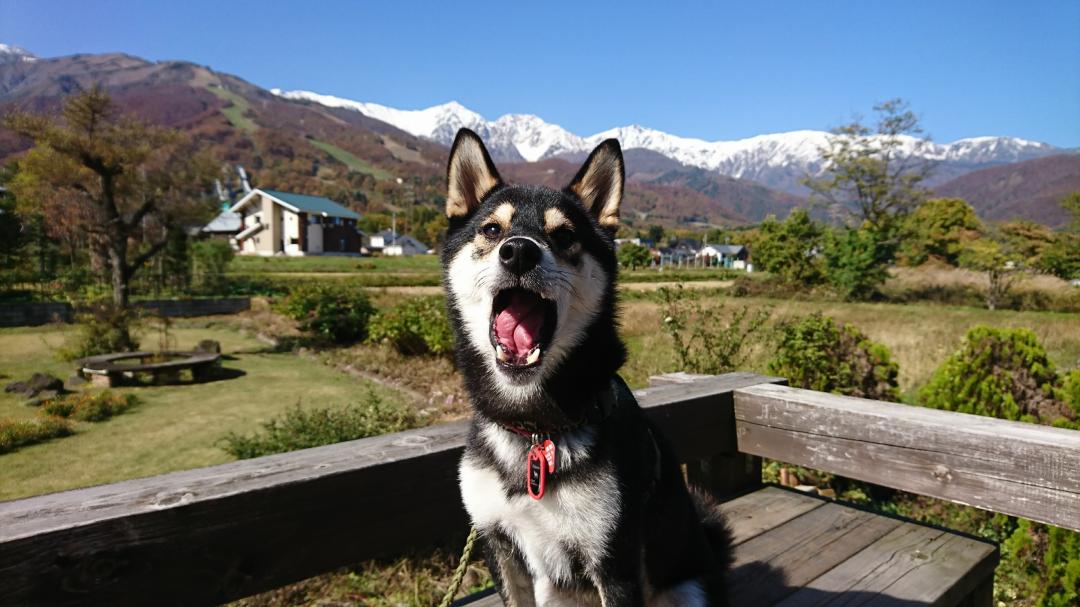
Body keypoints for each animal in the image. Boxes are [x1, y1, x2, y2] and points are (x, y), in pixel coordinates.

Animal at [440, 128, 734, 604]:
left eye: (563, 236)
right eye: (492, 229)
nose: (518, 251)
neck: (535, 427)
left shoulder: (614, 559)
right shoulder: (498, 543)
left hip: (686, 587)